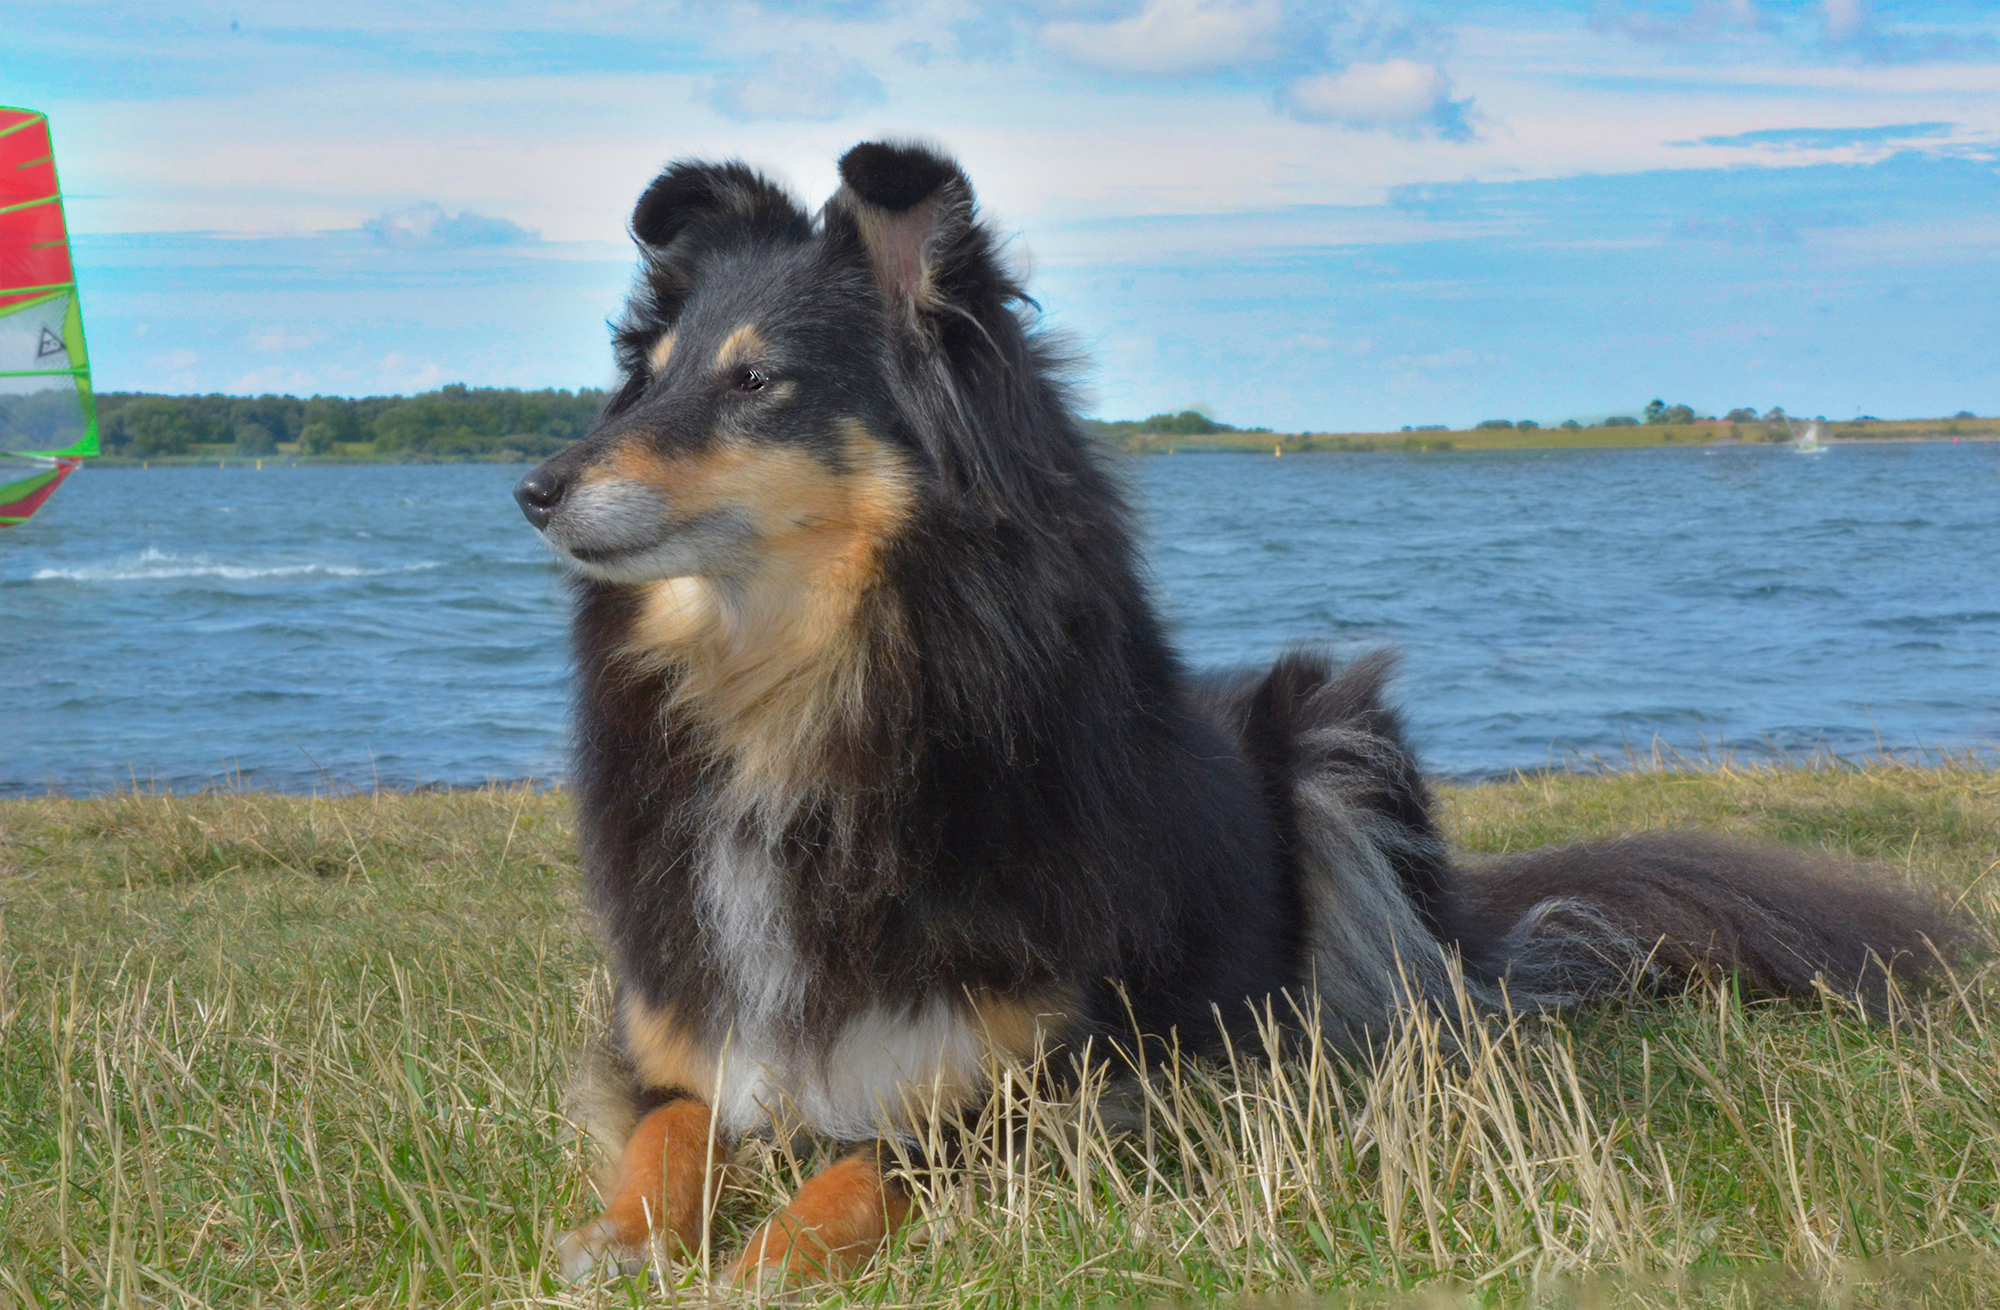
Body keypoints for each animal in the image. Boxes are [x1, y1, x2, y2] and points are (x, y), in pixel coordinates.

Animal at [508, 138, 1960, 1288]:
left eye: (757, 382)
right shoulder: (678, 1037)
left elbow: (872, 1165)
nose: (533, 487)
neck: (810, 690)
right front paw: (618, 1235)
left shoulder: (1059, 1079)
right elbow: (668, 1126)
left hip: (1333, 740)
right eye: (648, 378)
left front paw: (765, 1253)